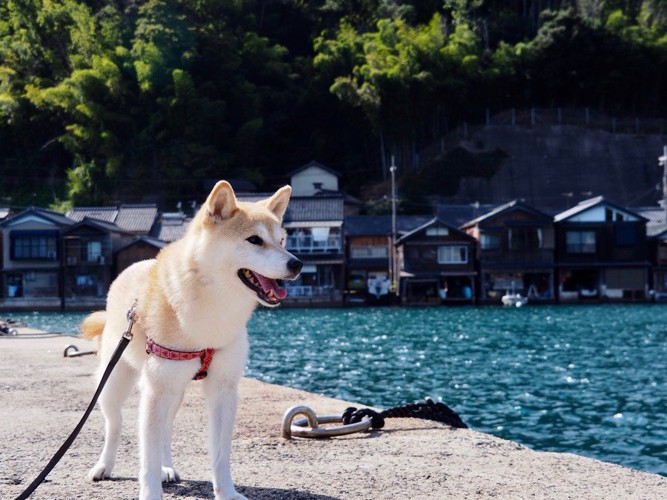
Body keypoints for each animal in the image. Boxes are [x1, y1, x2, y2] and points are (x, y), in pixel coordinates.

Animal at [81, 182, 302, 498]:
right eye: (254, 240)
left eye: (282, 240)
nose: (297, 264)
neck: (213, 308)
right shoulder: (157, 391)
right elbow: (147, 458)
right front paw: (150, 493)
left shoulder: (224, 388)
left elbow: (220, 454)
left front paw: (227, 492)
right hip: (115, 381)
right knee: (115, 424)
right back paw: (105, 466)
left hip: (173, 392)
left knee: (165, 430)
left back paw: (167, 468)